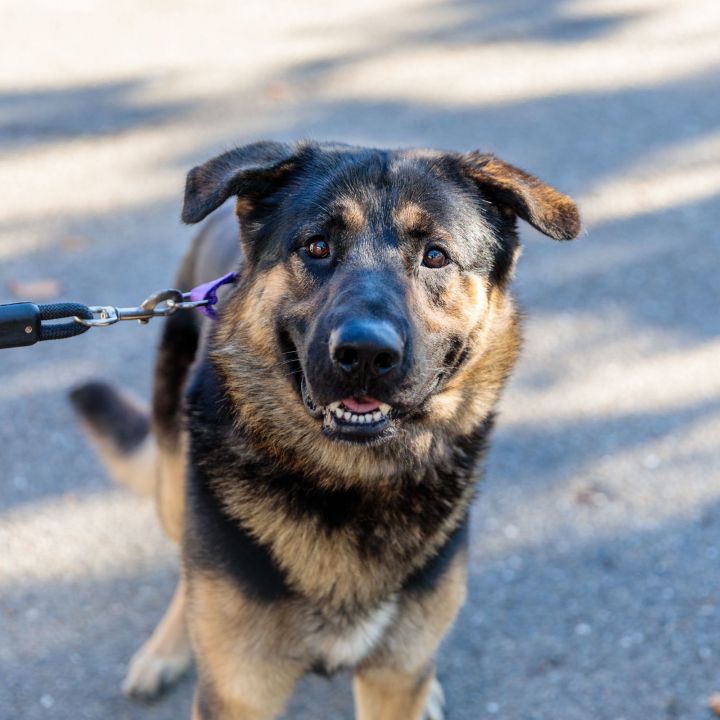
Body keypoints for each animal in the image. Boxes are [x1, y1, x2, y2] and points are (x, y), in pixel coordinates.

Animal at [71, 142, 580, 720]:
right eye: (317, 247)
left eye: (435, 256)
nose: (365, 354)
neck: (351, 479)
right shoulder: (239, 691)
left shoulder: (391, 677)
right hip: (175, 481)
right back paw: (166, 647)